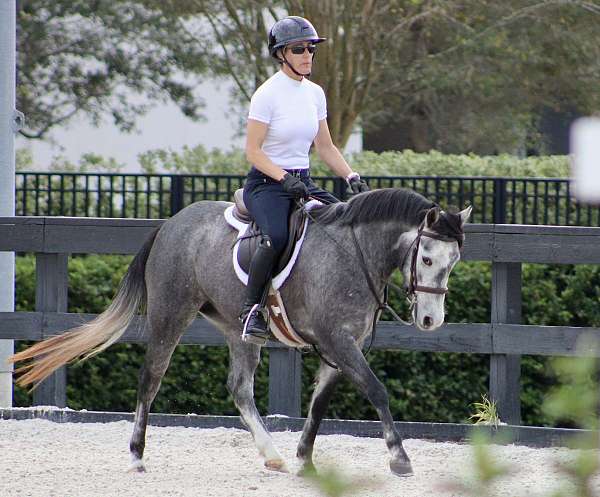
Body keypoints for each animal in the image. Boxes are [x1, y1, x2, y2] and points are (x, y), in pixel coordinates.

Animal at [7, 186, 472, 476]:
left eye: (454, 261)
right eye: (427, 258)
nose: (431, 321)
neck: (354, 254)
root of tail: (171, 223)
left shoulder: (342, 346)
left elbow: (319, 406)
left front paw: (304, 460)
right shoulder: (338, 341)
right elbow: (377, 391)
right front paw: (399, 458)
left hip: (237, 328)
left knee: (239, 388)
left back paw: (273, 456)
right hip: (170, 316)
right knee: (150, 379)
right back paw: (137, 457)